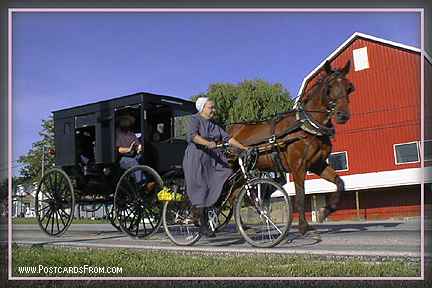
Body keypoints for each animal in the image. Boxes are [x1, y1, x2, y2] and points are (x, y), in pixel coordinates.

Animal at [226, 59, 354, 235]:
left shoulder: (317, 164)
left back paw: (244, 227)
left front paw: (324, 212)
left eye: (349, 87)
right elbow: (300, 197)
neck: (307, 126)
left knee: (233, 195)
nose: (343, 115)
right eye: (329, 88)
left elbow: (340, 183)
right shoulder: (298, 166)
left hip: (240, 173)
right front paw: (303, 226)